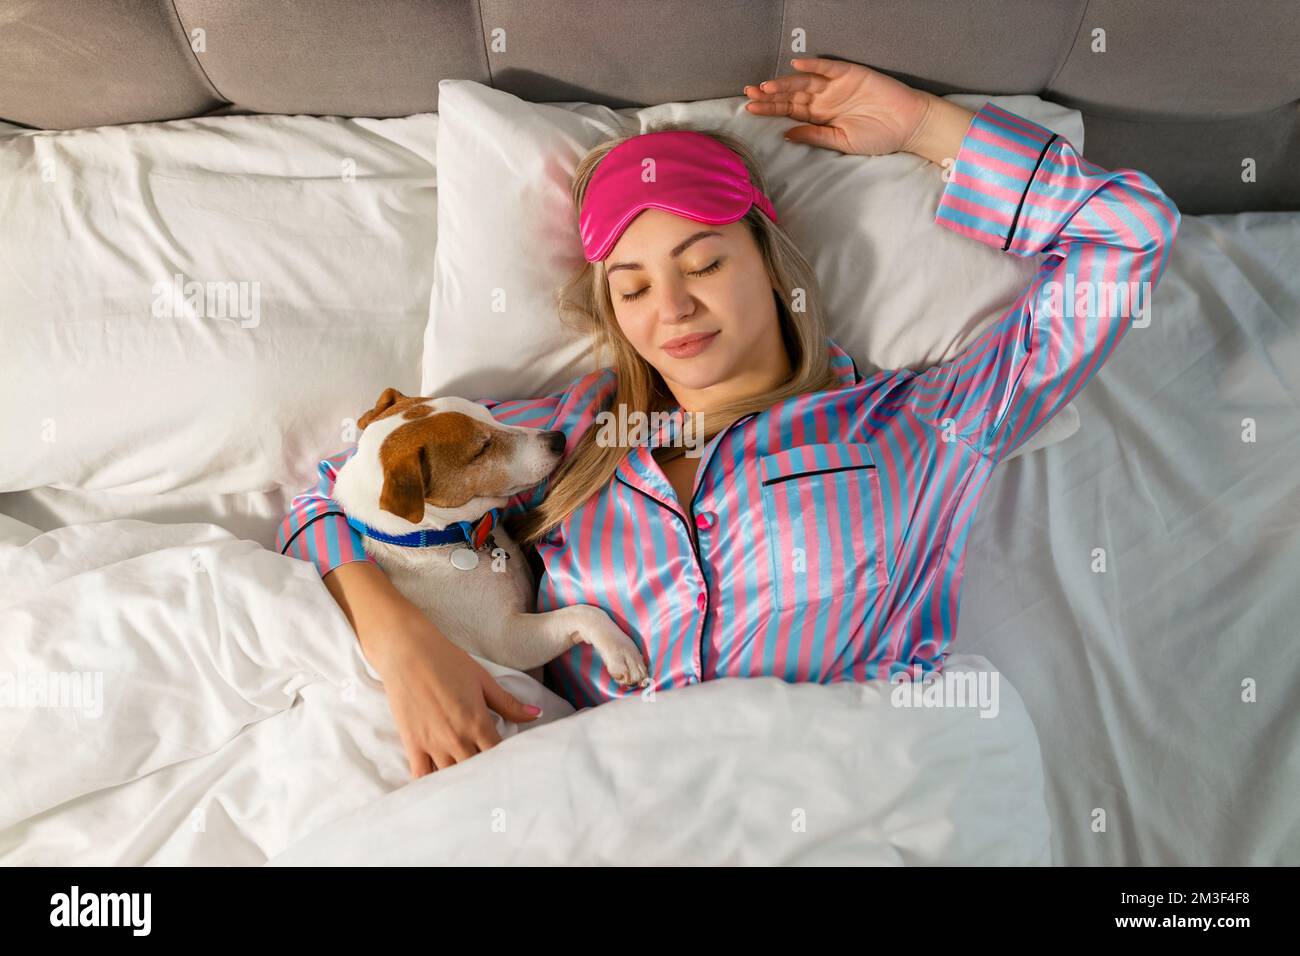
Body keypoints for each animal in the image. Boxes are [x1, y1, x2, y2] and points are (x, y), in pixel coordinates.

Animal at [332, 385, 650, 691]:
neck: (441, 538)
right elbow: (583, 612)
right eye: (481, 449)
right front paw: (621, 650)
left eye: (488, 413)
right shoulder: (507, 640)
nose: (558, 439)